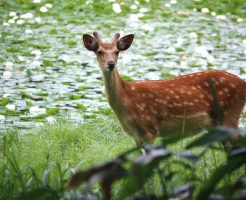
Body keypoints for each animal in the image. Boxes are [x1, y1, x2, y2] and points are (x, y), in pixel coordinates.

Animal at [82, 31, 246, 147]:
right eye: (99, 51)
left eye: (117, 52)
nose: (111, 64)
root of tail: (242, 82)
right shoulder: (136, 137)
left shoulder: (149, 129)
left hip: (229, 115)